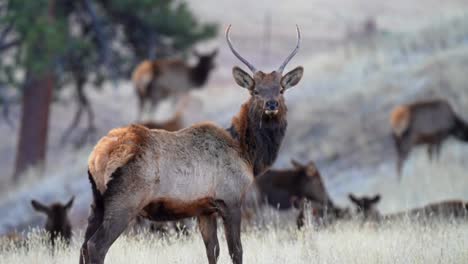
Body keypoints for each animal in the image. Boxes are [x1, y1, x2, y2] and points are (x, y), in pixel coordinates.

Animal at [81, 25, 304, 264]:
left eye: (280, 89)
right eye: (255, 91)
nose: (271, 104)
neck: (247, 154)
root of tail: (96, 155)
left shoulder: (205, 209)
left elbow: (212, 251)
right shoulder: (231, 199)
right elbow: (236, 251)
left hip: (97, 202)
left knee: (83, 246)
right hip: (125, 201)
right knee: (96, 246)